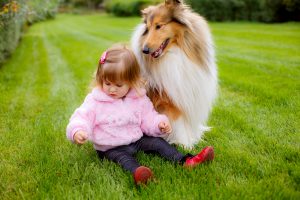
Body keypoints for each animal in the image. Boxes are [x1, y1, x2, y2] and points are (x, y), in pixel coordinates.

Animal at [130, 0, 217, 147]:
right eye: (148, 28)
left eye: (159, 26)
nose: (144, 50)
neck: (176, 52)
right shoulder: (169, 100)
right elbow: (178, 121)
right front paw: (185, 143)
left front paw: (194, 137)